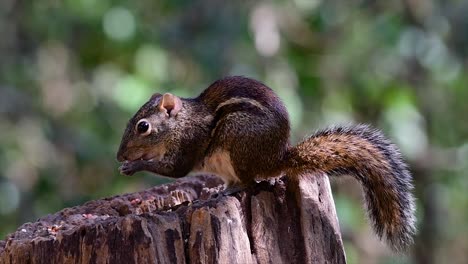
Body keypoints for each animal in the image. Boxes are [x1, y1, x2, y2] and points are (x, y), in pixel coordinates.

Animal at [117, 75, 416, 251]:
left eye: (143, 126)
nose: (120, 156)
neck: (182, 123)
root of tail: (277, 159)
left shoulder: (188, 145)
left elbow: (175, 169)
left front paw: (133, 166)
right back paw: (216, 191)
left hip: (238, 143)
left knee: (250, 182)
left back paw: (230, 190)